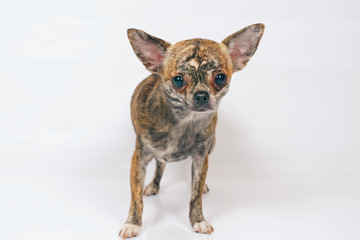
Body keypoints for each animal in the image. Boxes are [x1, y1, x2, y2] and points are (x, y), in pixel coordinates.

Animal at [119, 23, 262, 238]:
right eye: (178, 80)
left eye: (220, 78)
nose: (202, 95)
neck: (184, 122)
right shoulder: (139, 158)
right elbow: (136, 198)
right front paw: (132, 224)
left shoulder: (201, 158)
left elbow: (195, 195)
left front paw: (198, 220)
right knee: (160, 164)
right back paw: (153, 185)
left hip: (212, 144)